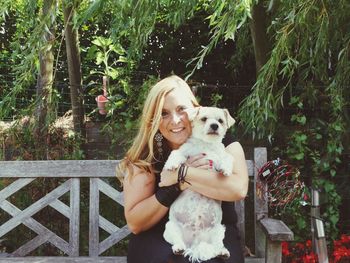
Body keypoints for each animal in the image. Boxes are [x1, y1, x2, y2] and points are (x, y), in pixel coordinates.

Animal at [163, 106, 235, 262]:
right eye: (204, 119)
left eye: (220, 121)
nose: (214, 125)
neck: (205, 144)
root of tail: (195, 243)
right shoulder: (183, 151)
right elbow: (175, 154)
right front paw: (171, 165)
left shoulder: (220, 156)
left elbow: (228, 158)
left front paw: (226, 169)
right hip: (170, 228)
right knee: (178, 241)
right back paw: (178, 248)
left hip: (219, 231)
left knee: (217, 245)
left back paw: (222, 252)